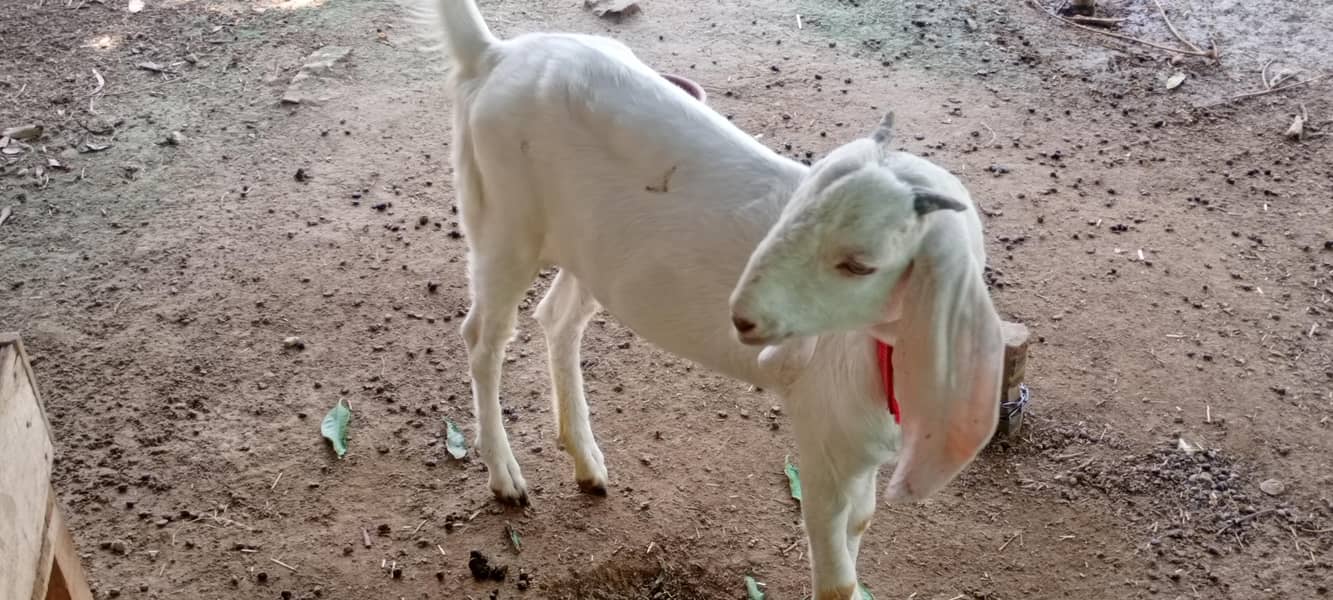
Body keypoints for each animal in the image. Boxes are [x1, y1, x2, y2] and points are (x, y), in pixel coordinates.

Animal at [409, 1, 1004, 597]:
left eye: (860, 263)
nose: (742, 317)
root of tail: (494, 54)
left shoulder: (860, 453)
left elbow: (861, 525)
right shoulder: (825, 440)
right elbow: (835, 576)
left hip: (587, 248)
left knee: (558, 318)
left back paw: (586, 461)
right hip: (503, 220)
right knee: (483, 338)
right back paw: (505, 476)